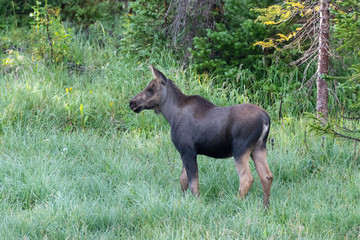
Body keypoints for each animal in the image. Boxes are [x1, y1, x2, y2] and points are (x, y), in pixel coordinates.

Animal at [129, 64, 272, 207]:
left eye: (151, 89)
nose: (132, 103)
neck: (171, 115)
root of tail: (266, 119)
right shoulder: (185, 152)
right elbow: (183, 180)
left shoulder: (188, 151)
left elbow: (193, 183)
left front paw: (198, 203)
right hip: (258, 147)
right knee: (267, 176)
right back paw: (265, 206)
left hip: (240, 149)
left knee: (246, 178)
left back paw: (235, 203)